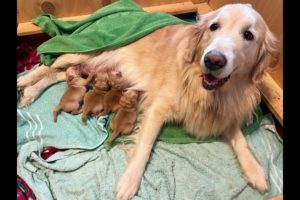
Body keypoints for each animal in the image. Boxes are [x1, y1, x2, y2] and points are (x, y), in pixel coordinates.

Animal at [17, 3, 278, 200]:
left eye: (248, 35)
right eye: (214, 26)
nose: (213, 60)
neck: (204, 89)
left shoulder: (223, 114)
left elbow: (240, 141)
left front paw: (255, 171)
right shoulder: (157, 108)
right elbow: (144, 146)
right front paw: (129, 182)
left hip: (88, 69)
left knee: (57, 74)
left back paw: (31, 92)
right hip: (86, 51)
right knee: (49, 64)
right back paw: (24, 82)